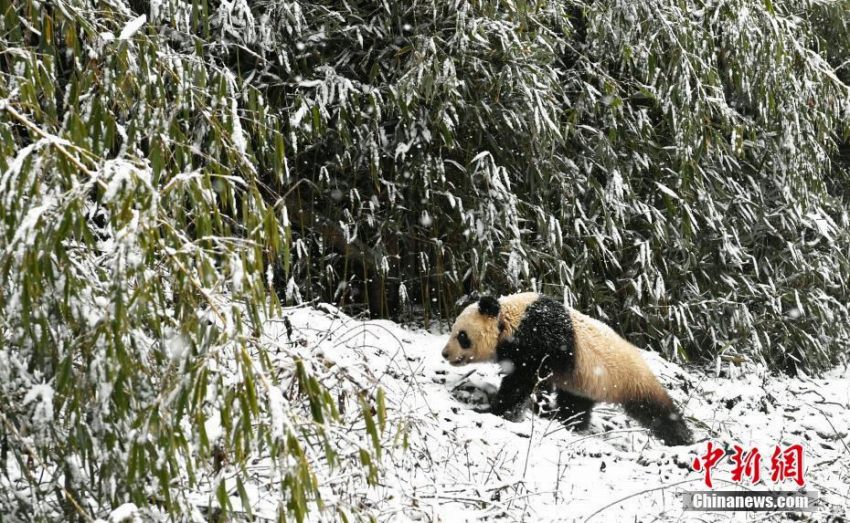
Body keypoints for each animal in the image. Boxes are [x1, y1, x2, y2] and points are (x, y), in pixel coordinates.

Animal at [440, 292, 692, 444]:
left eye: (462, 336)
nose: (445, 354)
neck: (509, 319)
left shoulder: (538, 339)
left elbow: (521, 382)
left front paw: (494, 410)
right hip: (584, 383)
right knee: (575, 406)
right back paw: (567, 423)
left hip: (629, 378)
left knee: (656, 409)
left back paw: (682, 438)